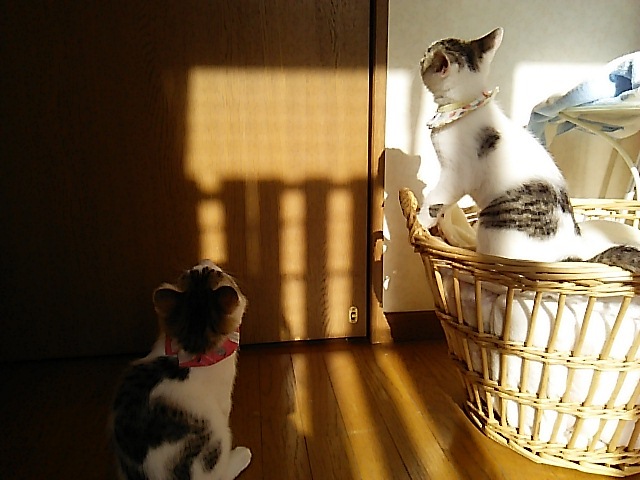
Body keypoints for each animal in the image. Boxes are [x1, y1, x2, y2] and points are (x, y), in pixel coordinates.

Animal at [110, 260, 251, 480]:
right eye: (219, 273)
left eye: (190, 272)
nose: (206, 260)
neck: (192, 351)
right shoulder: (224, 400)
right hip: (219, 435)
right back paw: (242, 456)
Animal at [417, 27, 640, 272]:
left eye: (427, 55)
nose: (420, 58)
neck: (465, 106)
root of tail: (571, 256)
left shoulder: (456, 174)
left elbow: (435, 199)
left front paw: (420, 222)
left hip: (493, 227)